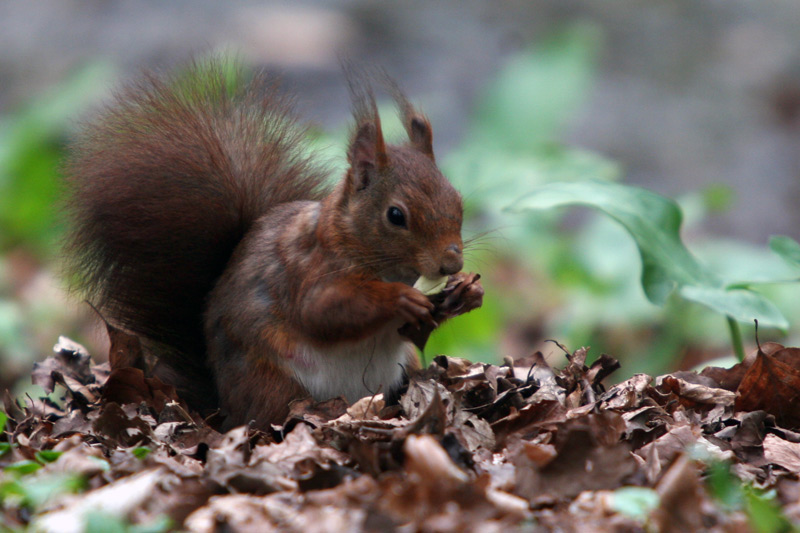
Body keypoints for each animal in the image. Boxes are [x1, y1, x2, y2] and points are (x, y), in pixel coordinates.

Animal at [64, 61, 482, 428]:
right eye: (396, 216)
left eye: (458, 200)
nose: (450, 264)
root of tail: (222, 406)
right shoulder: (307, 270)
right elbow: (323, 310)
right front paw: (399, 298)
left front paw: (466, 292)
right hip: (274, 383)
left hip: (405, 366)